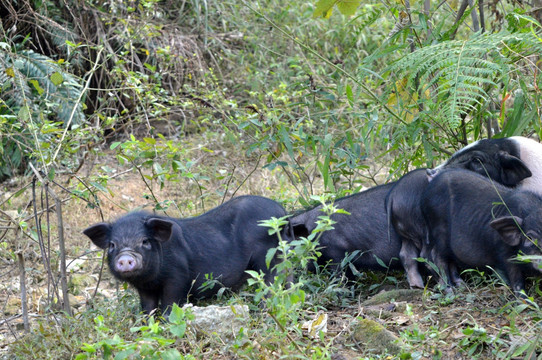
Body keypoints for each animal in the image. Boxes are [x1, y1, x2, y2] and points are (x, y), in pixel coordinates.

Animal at [83, 195, 288, 314]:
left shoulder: (177, 276)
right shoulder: (145, 288)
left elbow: (170, 302)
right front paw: (146, 323)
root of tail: (281, 212)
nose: (126, 257)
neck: (151, 280)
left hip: (268, 255)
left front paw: (166, 321)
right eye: (112, 245)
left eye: (145, 241)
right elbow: (148, 306)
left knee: (274, 279)